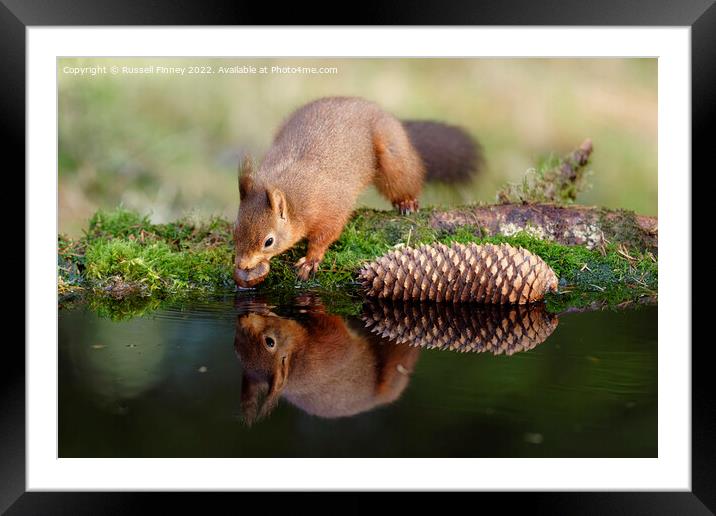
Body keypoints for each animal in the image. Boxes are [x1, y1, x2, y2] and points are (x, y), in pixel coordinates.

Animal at [235, 95, 482, 286]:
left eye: (269, 241)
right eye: (235, 229)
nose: (241, 264)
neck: (292, 193)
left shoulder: (331, 206)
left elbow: (327, 234)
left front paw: (311, 260)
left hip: (392, 156)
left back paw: (407, 202)